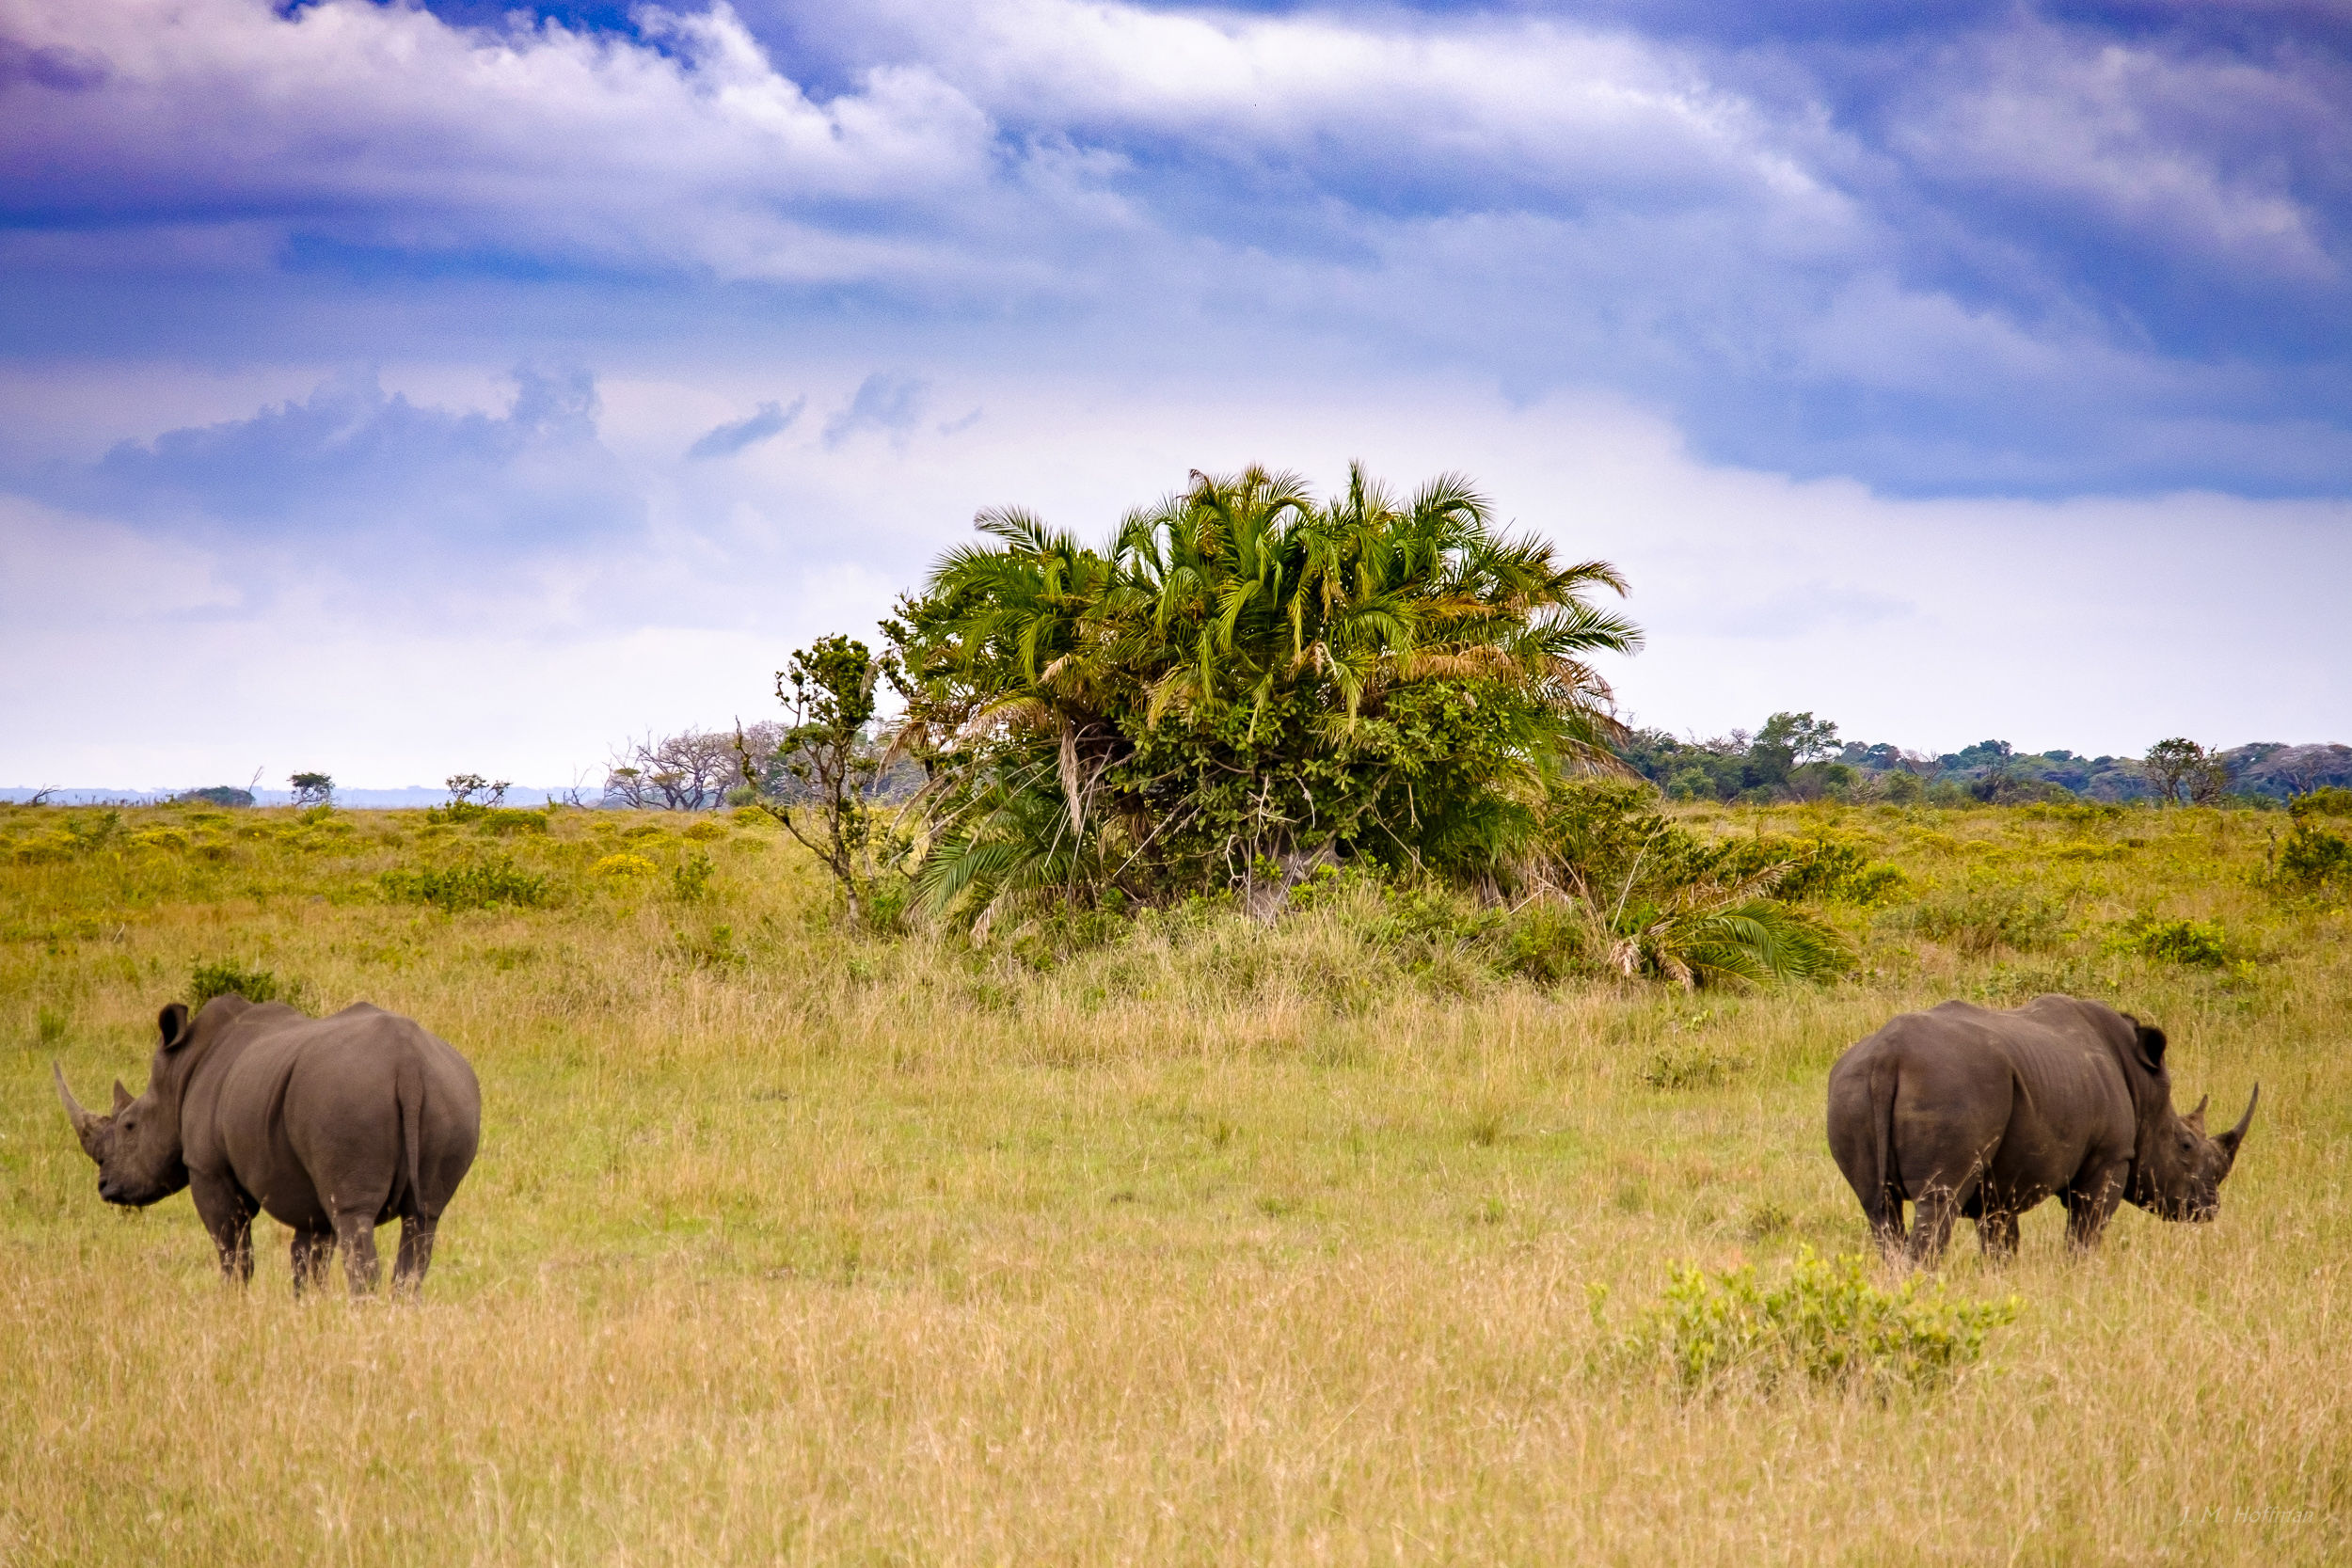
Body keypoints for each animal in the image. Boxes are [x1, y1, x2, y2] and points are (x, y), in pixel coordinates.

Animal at [54, 995, 480, 1295]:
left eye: (129, 1126)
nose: (105, 1186)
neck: (179, 1075)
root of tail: (408, 1066)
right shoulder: (309, 1189)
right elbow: (308, 1259)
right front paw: (308, 1310)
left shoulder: (208, 1168)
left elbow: (233, 1249)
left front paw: (231, 1303)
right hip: (450, 1091)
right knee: (423, 1218)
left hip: (352, 1095)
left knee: (354, 1217)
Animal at [1826, 994, 2255, 1263]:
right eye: (2185, 1145)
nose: (2209, 1208)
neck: (2145, 1091)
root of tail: (1888, 1056)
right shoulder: (2110, 1158)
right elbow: (2086, 1232)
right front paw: (2079, 1278)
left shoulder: (2001, 1186)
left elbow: (2001, 1241)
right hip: (1949, 1085)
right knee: (1938, 1204)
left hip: (1851, 1087)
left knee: (1879, 1208)